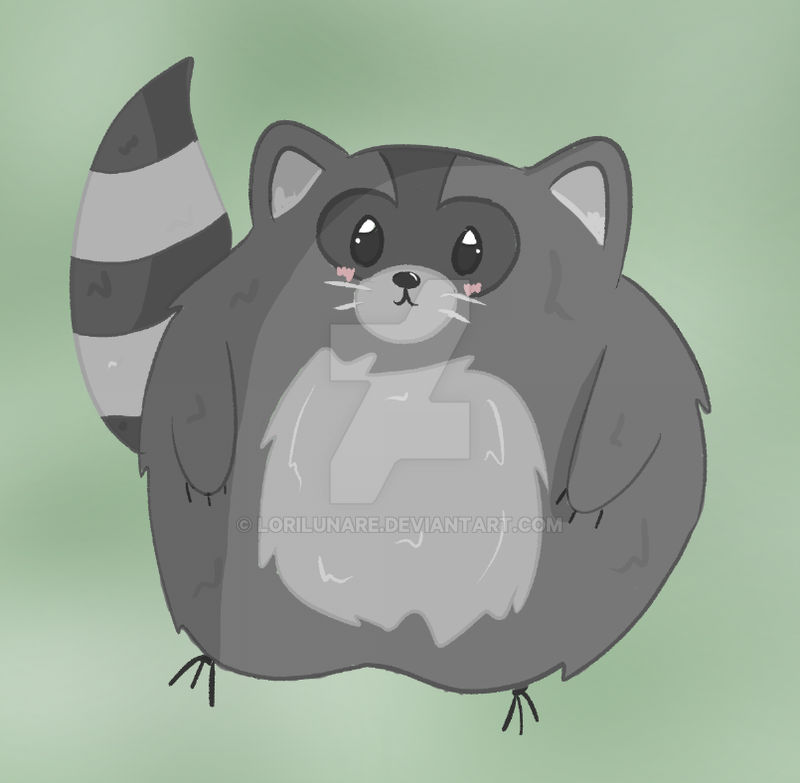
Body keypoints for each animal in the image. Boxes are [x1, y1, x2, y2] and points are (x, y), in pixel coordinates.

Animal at [70, 58, 709, 733]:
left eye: (472, 248)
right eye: (363, 238)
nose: (404, 278)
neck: (407, 369)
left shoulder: (633, 354)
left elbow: (631, 407)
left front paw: (589, 489)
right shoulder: (222, 321)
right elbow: (199, 376)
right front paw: (207, 466)